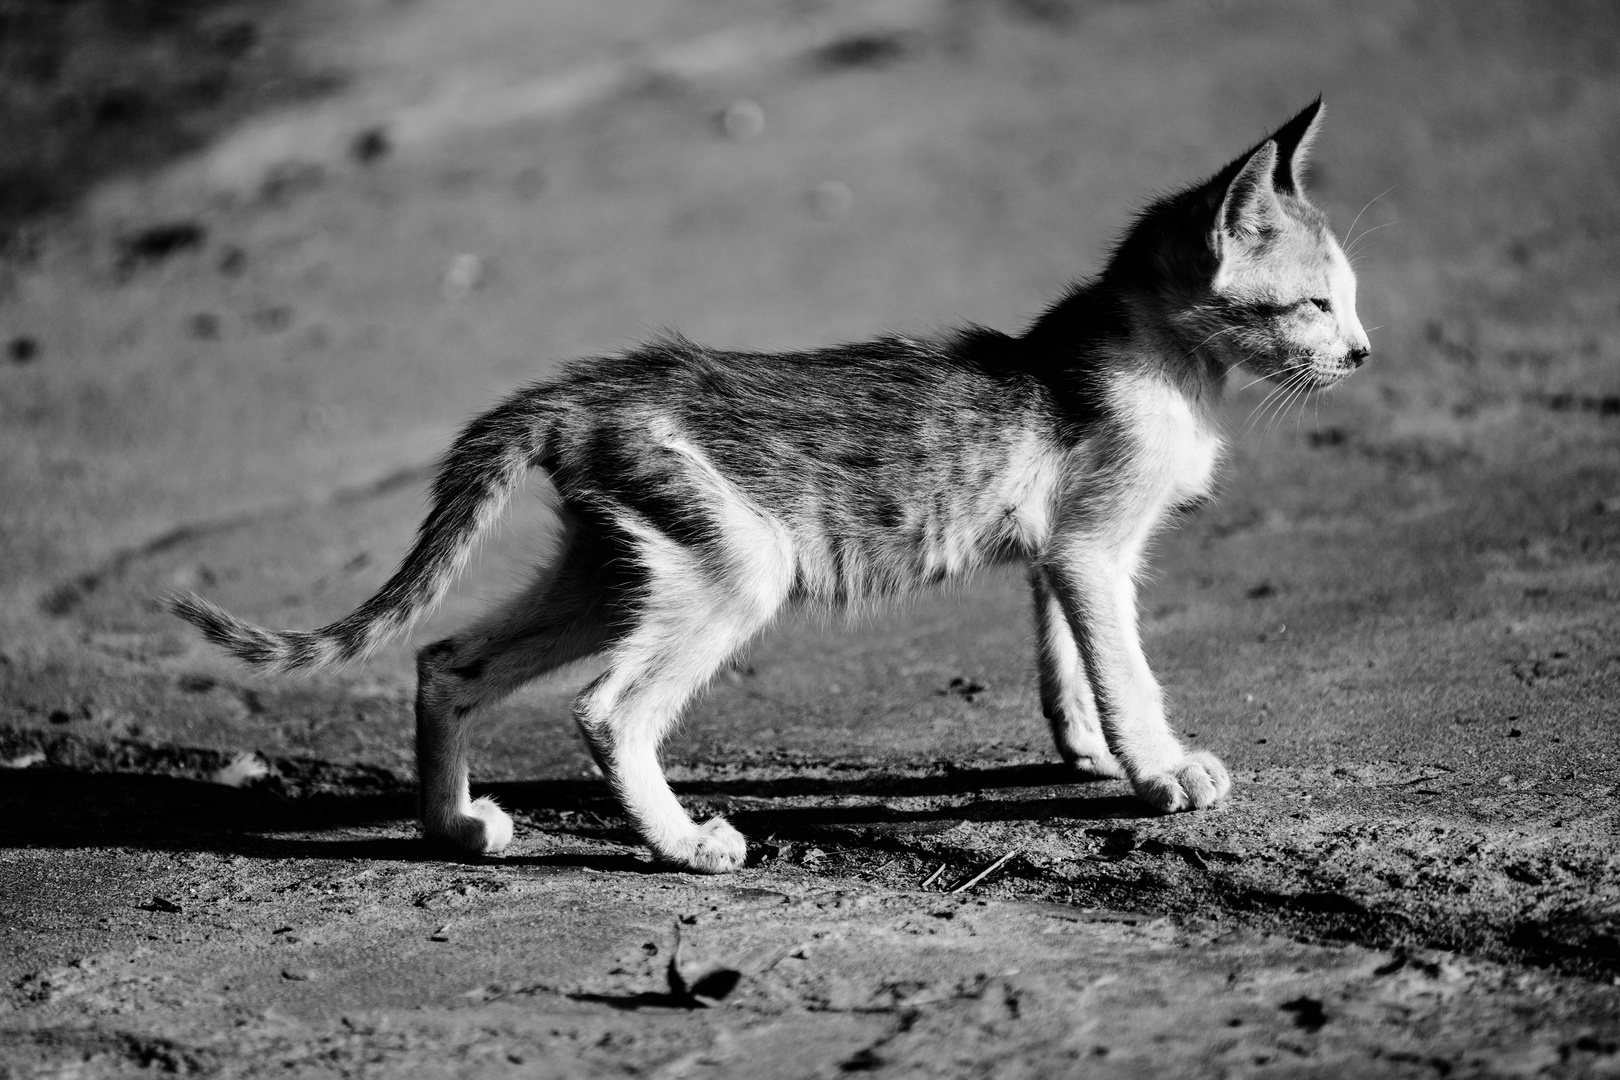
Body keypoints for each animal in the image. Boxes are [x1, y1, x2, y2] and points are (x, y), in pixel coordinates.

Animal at [174, 101, 1367, 874]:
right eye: (1315, 304)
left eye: (1348, 299)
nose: (1362, 353)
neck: (1164, 363)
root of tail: (584, 389)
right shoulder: (1091, 548)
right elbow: (1128, 671)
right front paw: (1159, 773)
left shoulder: (1061, 552)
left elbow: (1070, 656)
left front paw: (1080, 749)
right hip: (737, 566)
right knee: (607, 709)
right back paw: (683, 846)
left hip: (622, 567)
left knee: (447, 661)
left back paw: (455, 830)